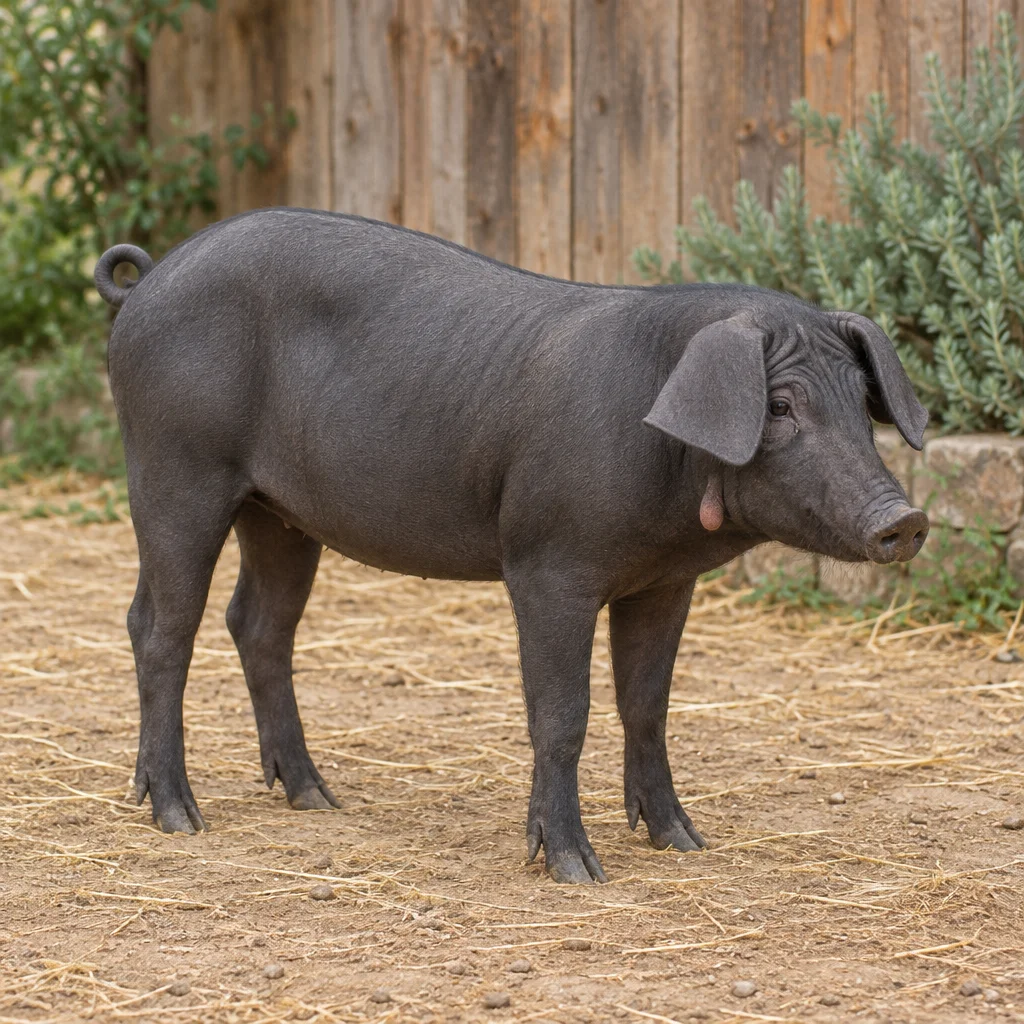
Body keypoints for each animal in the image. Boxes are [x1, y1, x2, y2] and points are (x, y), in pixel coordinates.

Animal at [94, 209, 929, 883]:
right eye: (780, 405)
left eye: (862, 402)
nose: (906, 518)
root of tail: (148, 282)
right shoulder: (547, 566)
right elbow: (562, 713)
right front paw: (576, 870)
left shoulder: (663, 581)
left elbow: (648, 705)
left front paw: (684, 842)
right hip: (175, 466)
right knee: (159, 628)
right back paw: (179, 817)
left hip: (282, 512)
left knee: (258, 624)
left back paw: (316, 798)